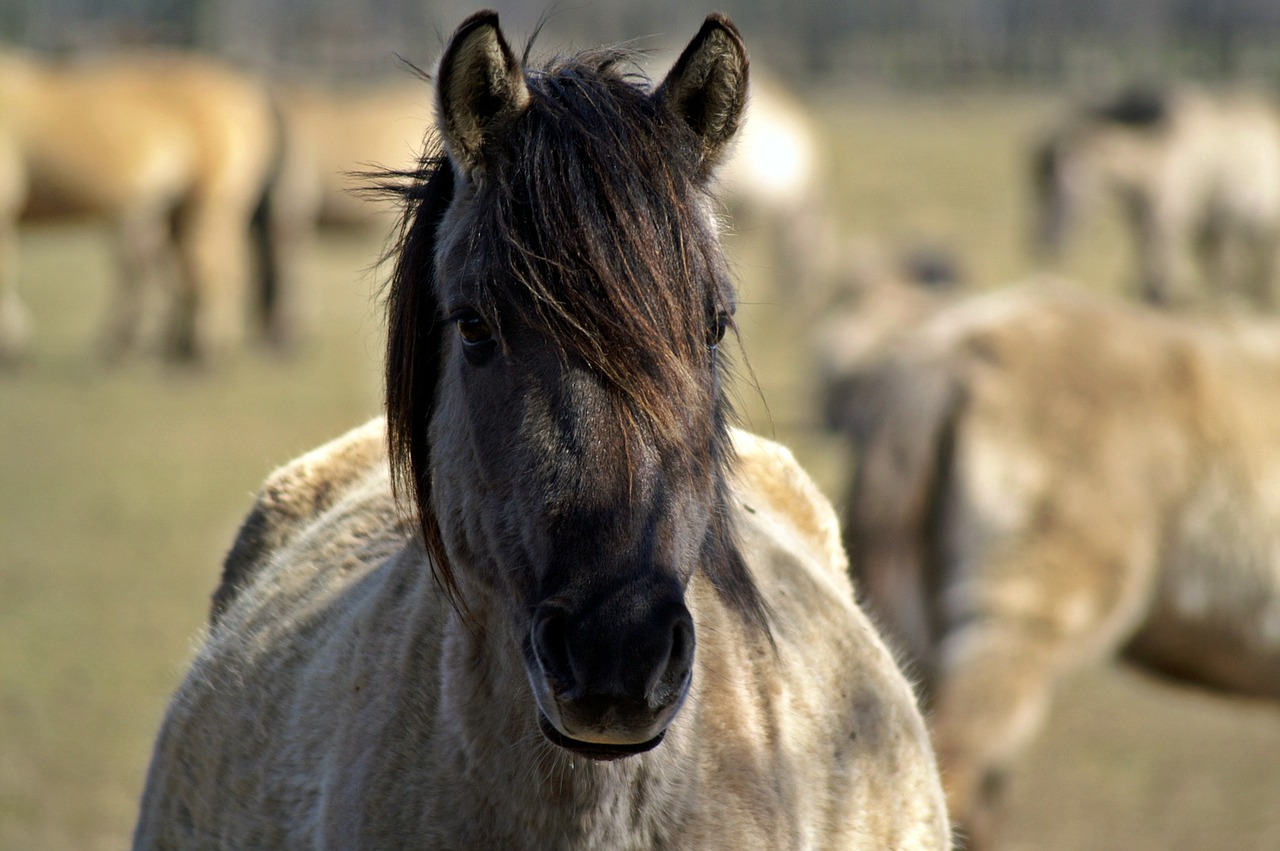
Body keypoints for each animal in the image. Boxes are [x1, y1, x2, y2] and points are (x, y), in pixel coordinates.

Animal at [0, 48, 277, 360]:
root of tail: (247, 96)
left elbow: (4, 269)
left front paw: (11, 343)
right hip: (186, 212)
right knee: (197, 269)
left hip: (206, 204)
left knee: (204, 267)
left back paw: (194, 349)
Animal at [1029, 86, 1280, 310]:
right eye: (1041, 188)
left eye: (1062, 189)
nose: (1044, 242)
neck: (1157, 165)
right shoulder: (1143, 224)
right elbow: (1148, 273)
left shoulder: (1168, 222)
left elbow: (1164, 273)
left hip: (1261, 230)